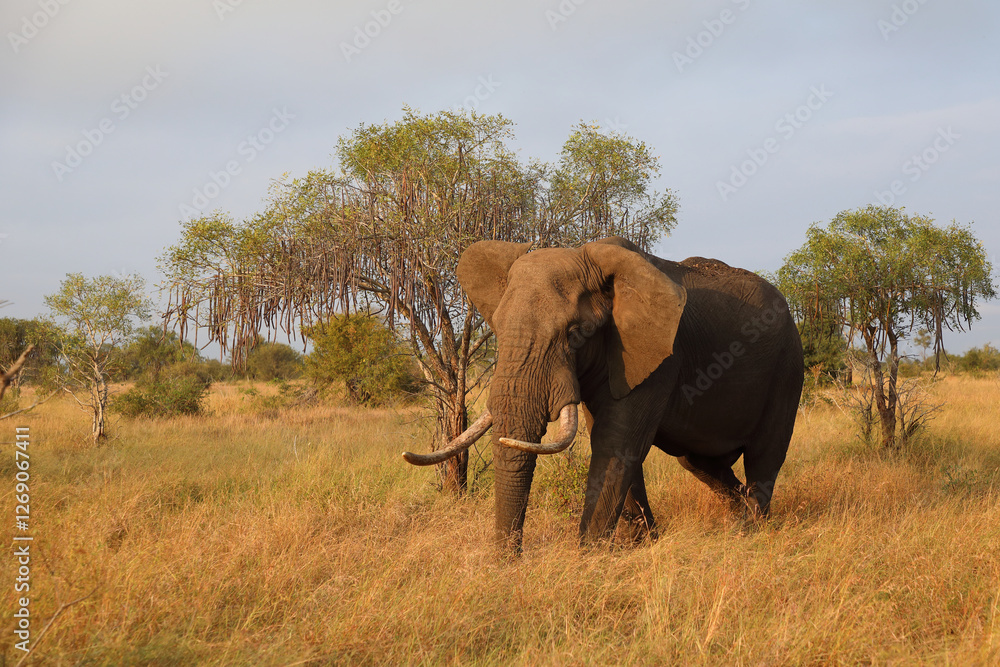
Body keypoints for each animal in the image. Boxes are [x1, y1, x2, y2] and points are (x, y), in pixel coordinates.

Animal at [403, 236, 803, 555]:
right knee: (699, 463)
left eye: (575, 333)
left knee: (764, 457)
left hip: (787, 367)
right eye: (497, 328)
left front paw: (590, 557)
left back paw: (751, 532)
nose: (509, 564)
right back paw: (737, 520)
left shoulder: (660, 356)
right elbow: (614, 443)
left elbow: (616, 444)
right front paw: (641, 546)